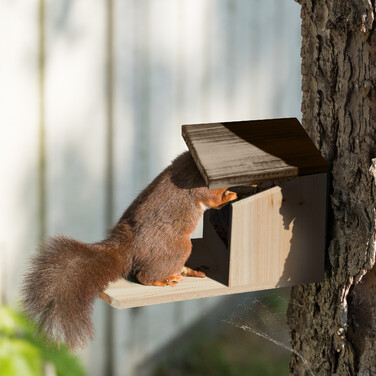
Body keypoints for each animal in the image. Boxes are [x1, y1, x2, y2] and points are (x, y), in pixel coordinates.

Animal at [22, 151, 236, 352]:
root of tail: (129, 249)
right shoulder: (199, 185)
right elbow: (213, 199)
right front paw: (230, 195)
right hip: (179, 248)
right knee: (144, 276)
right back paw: (163, 279)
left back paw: (186, 270)